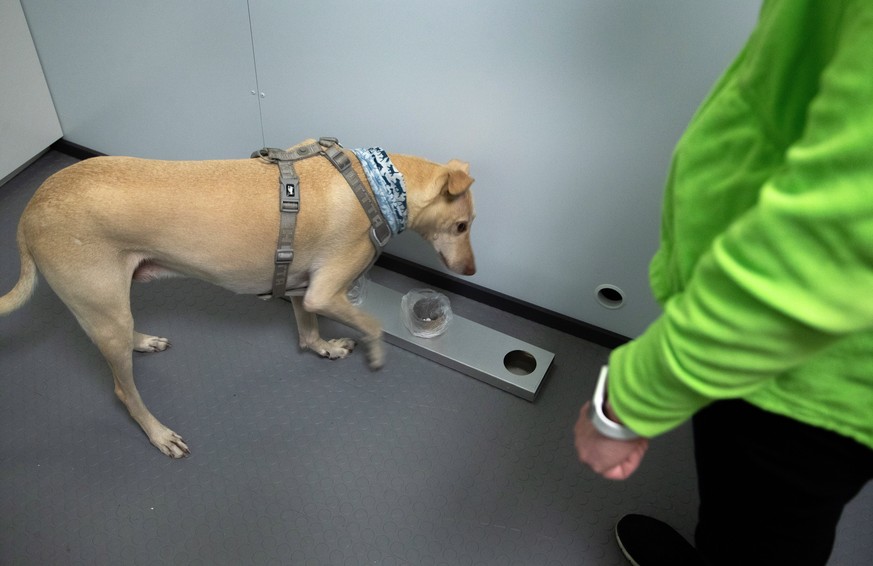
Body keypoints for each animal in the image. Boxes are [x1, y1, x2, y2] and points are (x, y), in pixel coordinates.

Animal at [0, 141, 476, 458]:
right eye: (462, 225)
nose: (471, 272)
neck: (374, 183)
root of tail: (28, 212)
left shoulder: (303, 290)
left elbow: (308, 333)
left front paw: (324, 348)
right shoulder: (324, 292)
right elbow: (372, 325)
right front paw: (375, 354)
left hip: (114, 307)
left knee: (125, 339)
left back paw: (144, 341)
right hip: (103, 309)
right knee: (124, 391)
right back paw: (158, 434)